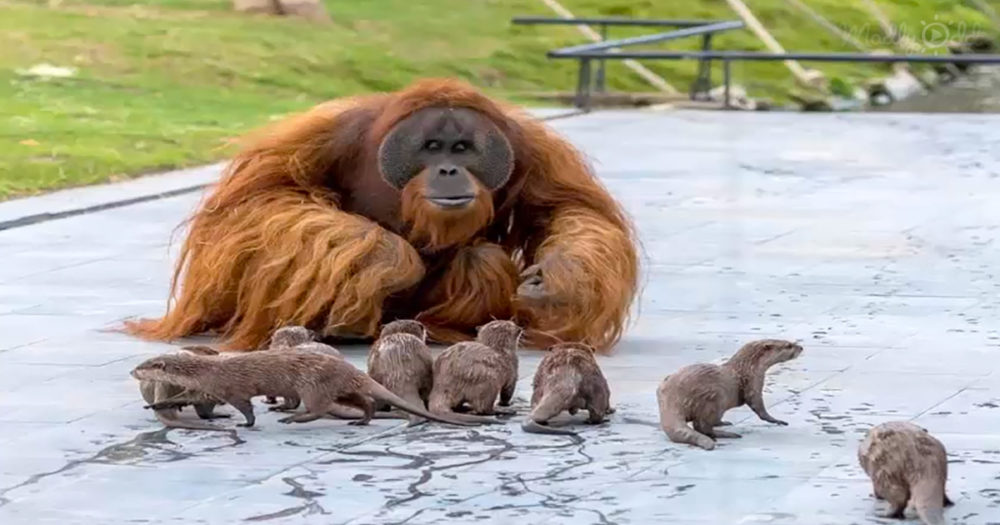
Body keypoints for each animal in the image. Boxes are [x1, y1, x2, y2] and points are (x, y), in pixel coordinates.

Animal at [657, 339, 803, 450]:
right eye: (788, 345)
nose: (801, 347)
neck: (748, 367)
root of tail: (672, 398)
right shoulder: (753, 383)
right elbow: (758, 405)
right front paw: (776, 420)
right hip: (714, 397)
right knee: (701, 425)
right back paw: (726, 433)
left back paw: (723, 424)